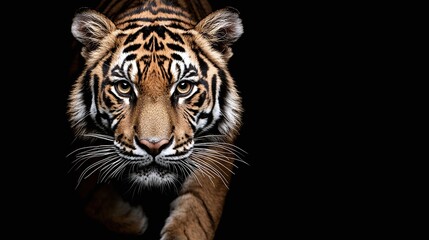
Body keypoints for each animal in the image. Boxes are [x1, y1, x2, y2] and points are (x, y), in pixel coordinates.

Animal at [64, 0, 244, 239]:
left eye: (183, 87)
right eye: (124, 87)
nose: (153, 146)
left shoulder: (220, 143)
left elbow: (199, 206)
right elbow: (93, 196)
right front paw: (133, 220)